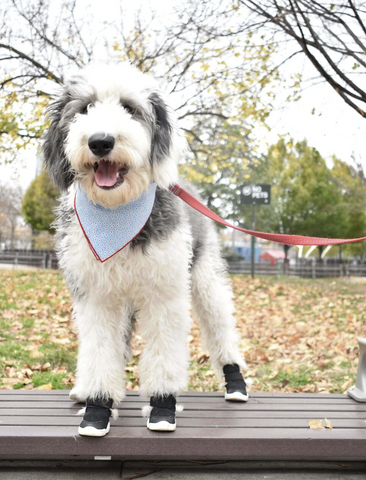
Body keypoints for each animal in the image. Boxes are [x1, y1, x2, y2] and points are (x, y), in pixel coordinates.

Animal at [43, 62, 249, 436]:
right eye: (84, 108)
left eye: (130, 108)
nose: (100, 141)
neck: (116, 216)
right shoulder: (97, 298)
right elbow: (100, 352)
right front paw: (98, 406)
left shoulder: (164, 294)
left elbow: (164, 353)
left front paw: (163, 406)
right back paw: (86, 392)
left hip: (205, 281)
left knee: (221, 328)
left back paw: (235, 382)